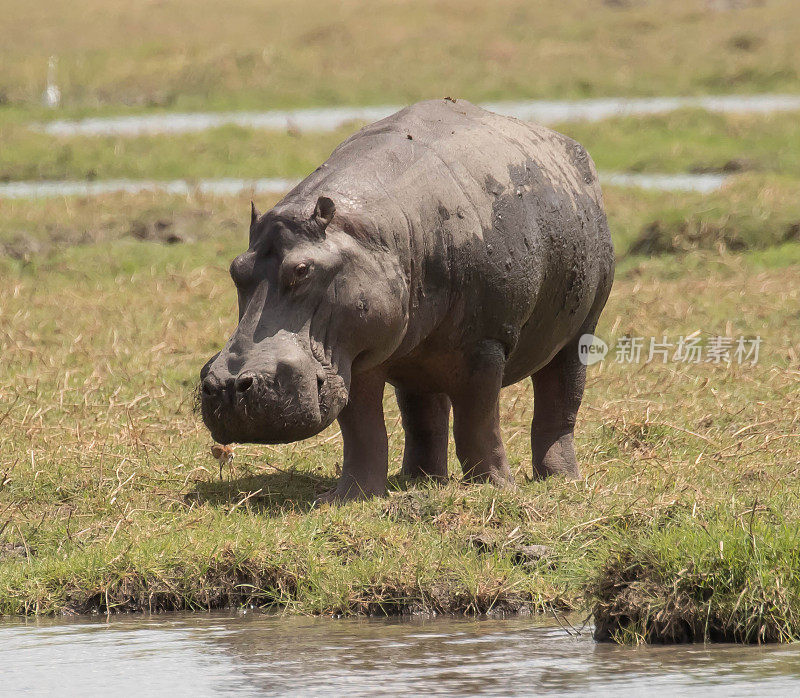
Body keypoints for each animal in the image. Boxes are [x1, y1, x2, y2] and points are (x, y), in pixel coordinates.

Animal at [198, 98, 612, 500]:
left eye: (302, 270)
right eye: (236, 268)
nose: (229, 386)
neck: (377, 236)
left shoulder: (485, 344)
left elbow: (478, 424)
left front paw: (495, 488)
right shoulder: (354, 357)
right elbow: (363, 433)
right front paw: (348, 497)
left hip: (581, 330)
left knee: (559, 405)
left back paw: (561, 480)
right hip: (417, 359)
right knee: (423, 416)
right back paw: (420, 479)